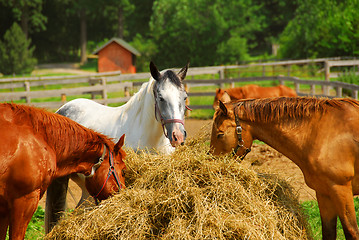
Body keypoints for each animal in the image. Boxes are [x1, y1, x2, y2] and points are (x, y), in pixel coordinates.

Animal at [211, 94, 359, 239]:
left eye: (220, 134)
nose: (213, 161)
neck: (321, 133)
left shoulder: (341, 189)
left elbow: (352, 231)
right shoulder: (324, 193)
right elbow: (328, 232)